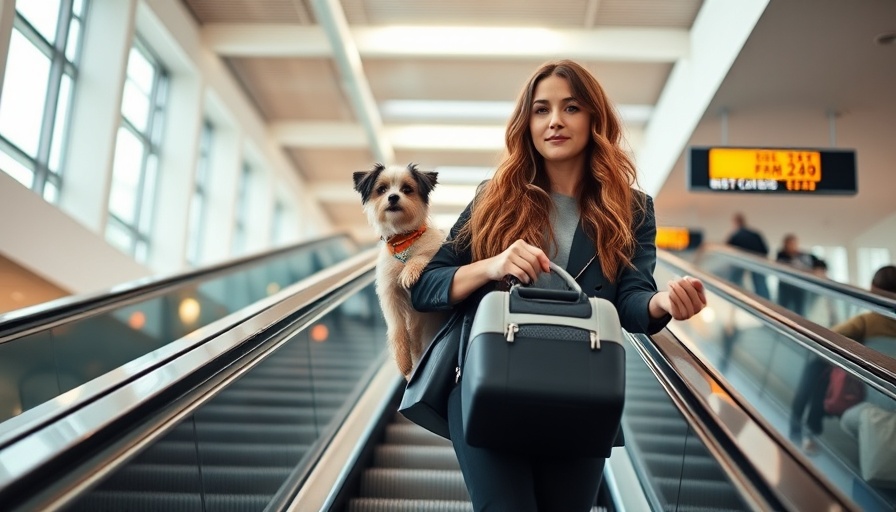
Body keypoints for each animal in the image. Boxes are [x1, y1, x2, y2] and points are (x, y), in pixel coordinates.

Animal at [352, 164, 446, 380]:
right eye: (382, 189)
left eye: (407, 189)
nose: (393, 197)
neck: (403, 241)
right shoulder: (389, 294)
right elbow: (397, 331)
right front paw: (403, 362)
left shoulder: (434, 250)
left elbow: (422, 256)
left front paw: (410, 271)